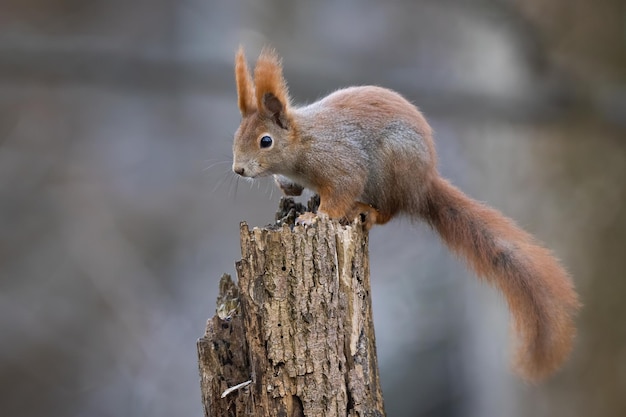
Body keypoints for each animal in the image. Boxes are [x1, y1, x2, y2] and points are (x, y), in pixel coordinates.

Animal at [232, 47, 576, 378]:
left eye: (265, 141)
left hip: (392, 168)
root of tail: (423, 185)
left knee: (389, 211)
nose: (238, 170)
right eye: (236, 136)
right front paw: (289, 189)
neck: (302, 140)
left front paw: (315, 217)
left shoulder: (340, 162)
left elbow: (343, 188)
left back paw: (366, 211)